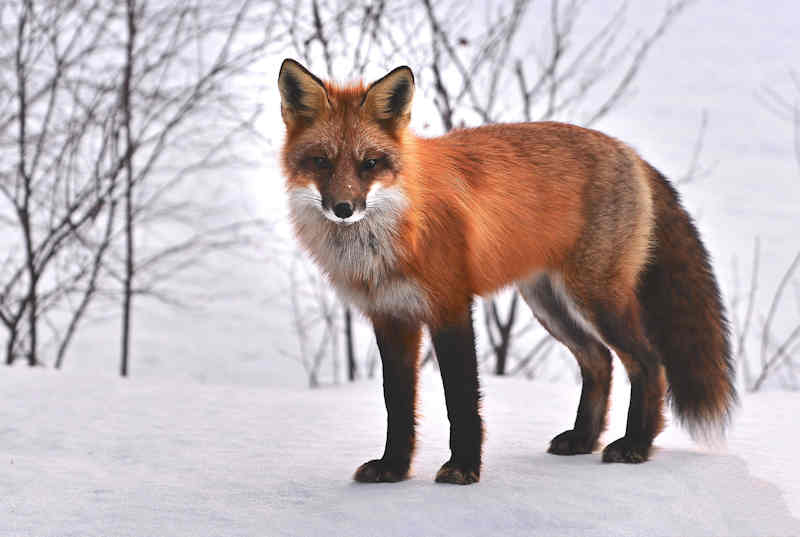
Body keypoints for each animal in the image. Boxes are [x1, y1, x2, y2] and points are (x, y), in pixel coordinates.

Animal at [277, 58, 736, 485]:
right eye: (321, 161)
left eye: (370, 163)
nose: (343, 208)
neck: (392, 234)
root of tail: (630, 153)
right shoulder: (391, 317)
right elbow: (398, 404)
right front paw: (393, 468)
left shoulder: (450, 307)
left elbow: (461, 399)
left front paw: (463, 468)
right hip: (549, 304)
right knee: (599, 361)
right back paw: (584, 439)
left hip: (596, 299)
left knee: (649, 363)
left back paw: (637, 444)